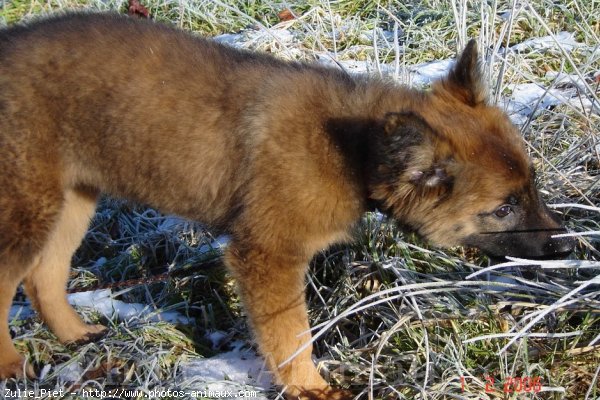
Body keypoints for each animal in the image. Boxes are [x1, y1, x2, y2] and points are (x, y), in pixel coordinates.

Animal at [0, 13, 572, 400]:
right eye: (503, 209)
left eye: (532, 187)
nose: (566, 247)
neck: (354, 151)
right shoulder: (268, 253)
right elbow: (291, 335)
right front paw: (310, 387)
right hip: (26, 206)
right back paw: (12, 366)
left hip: (71, 198)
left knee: (44, 275)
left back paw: (75, 334)